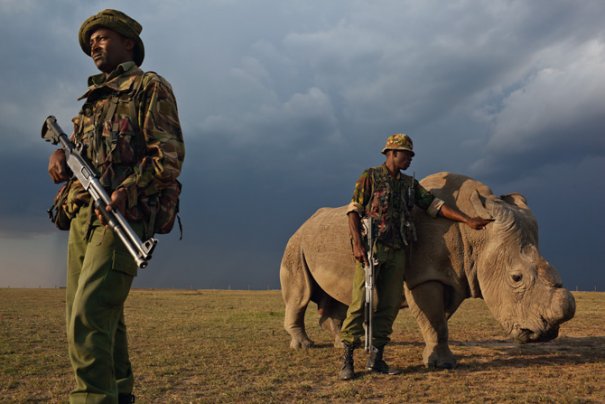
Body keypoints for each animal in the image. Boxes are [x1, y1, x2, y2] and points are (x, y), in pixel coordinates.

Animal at [280, 172, 572, 368]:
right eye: (516, 278)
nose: (546, 333)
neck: (476, 237)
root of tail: (302, 225)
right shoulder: (424, 277)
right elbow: (434, 319)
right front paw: (441, 364)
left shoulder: (453, 277)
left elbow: (438, 320)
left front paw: (437, 357)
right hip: (295, 244)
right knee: (300, 295)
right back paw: (303, 346)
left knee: (338, 298)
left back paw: (341, 343)